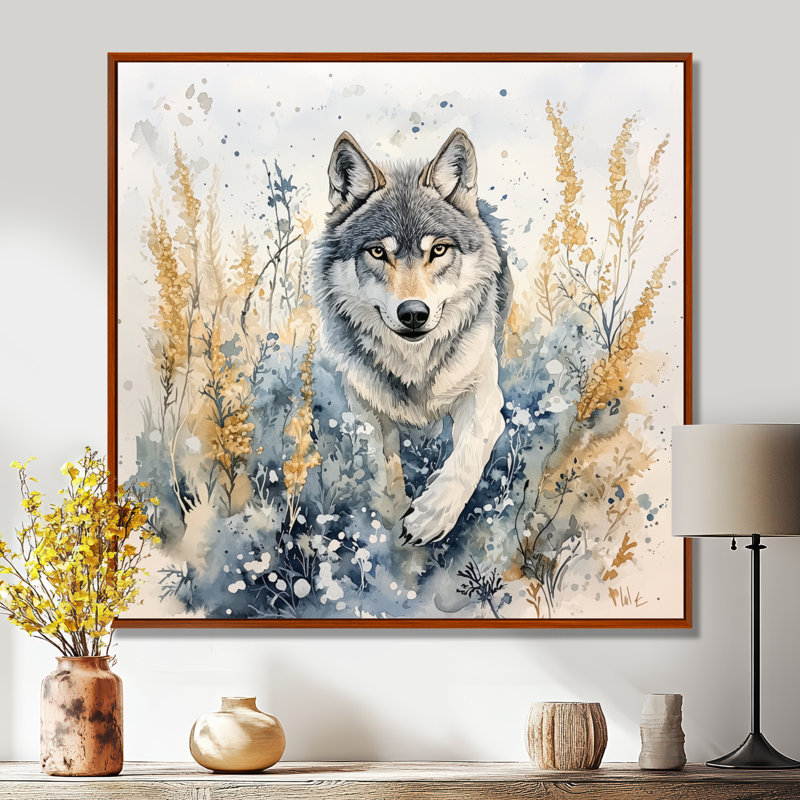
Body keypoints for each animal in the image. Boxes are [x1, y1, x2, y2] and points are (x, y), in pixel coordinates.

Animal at [313, 128, 511, 546]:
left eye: (438, 250)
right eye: (377, 252)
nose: (414, 313)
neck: (413, 362)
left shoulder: (484, 398)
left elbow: (466, 456)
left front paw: (430, 516)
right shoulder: (364, 406)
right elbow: (381, 464)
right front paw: (388, 514)